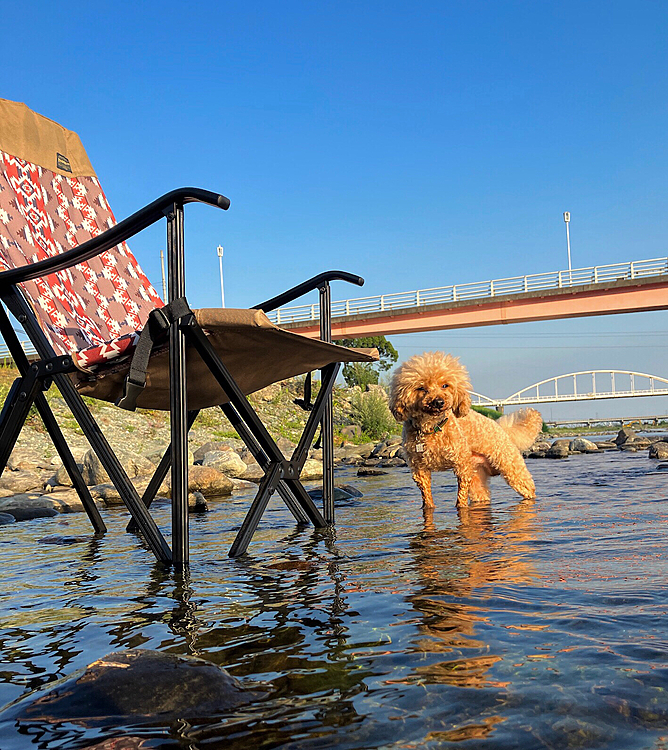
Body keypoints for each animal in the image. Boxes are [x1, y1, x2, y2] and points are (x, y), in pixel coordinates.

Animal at [392, 354, 544, 508]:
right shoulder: (419, 470)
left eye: (445, 385)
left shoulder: (462, 463)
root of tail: (501, 428)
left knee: (528, 489)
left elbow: (461, 494)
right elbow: (427, 497)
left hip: (510, 467)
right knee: (481, 494)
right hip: (478, 478)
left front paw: (461, 506)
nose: (439, 402)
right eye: (421, 388)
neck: (432, 427)